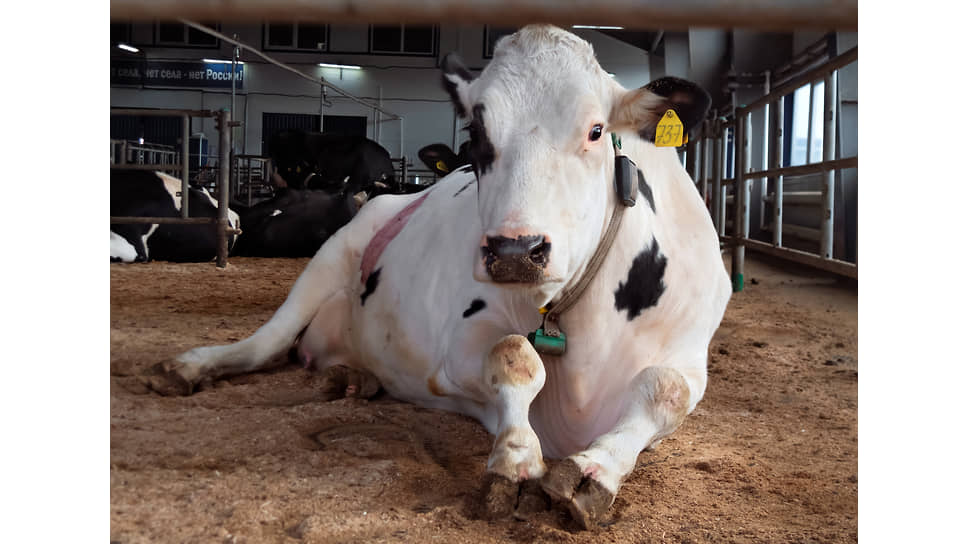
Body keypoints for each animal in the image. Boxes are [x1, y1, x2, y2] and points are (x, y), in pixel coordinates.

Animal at [149, 26, 728, 532]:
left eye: (596, 131)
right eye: (475, 134)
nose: (515, 251)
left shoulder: (688, 347)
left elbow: (666, 389)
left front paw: (593, 473)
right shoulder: (460, 342)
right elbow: (515, 355)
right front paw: (516, 460)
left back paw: (352, 379)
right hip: (335, 250)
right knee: (267, 342)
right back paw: (190, 366)